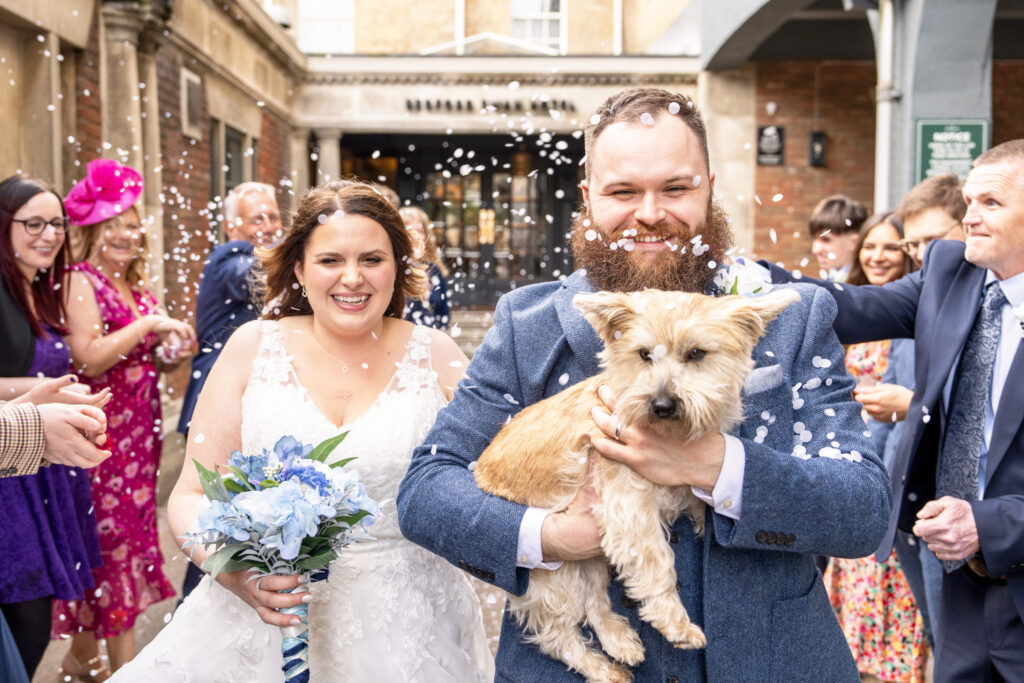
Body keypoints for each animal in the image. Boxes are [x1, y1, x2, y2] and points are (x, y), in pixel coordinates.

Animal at [471, 288, 798, 683]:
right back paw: (602, 669)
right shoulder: (627, 506)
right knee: (559, 634)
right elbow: (658, 561)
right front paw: (676, 624)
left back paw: (619, 641)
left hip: (590, 557)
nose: (662, 404)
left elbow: (697, 496)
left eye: (696, 354)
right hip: (555, 575)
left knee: (595, 603)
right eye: (644, 354)